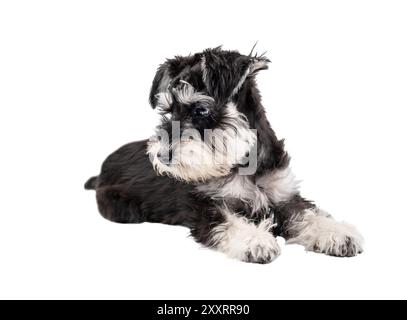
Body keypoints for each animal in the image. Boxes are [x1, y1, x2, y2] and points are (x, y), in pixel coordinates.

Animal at [85, 47, 364, 262]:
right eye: (168, 111)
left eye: (200, 110)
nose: (162, 156)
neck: (242, 161)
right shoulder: (206, 206)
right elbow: (230, 222)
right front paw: (256, 241)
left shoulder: (284, 196)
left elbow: (309, 214)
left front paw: (338, 234)